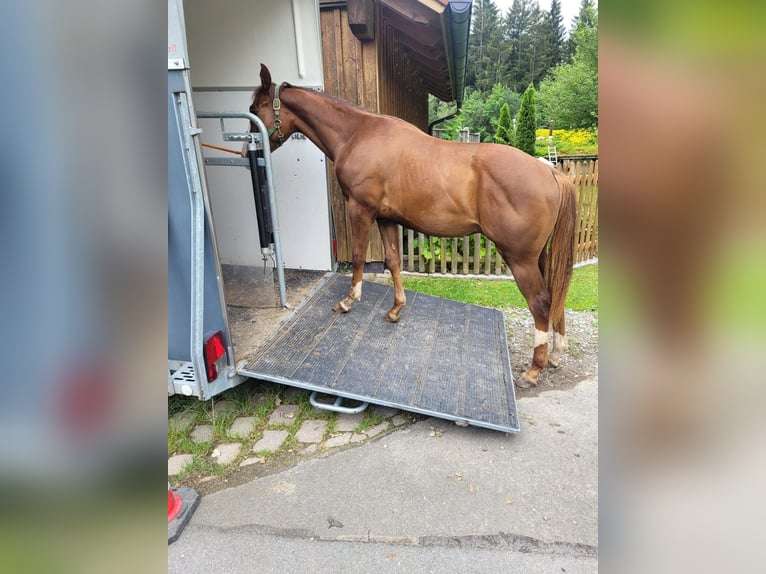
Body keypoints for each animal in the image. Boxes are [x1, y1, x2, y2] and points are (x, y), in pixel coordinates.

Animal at [249, 65, 580, 390]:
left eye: (254, 109)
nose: (247, 151)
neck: (358, 134)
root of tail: (550, 172)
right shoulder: (386, 218)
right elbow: (394, 260)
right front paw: (396, 309)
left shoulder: (360, 210)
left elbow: (358, 256)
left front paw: (348, 301)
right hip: (540, 257)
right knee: (555, 293)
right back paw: (556, 354)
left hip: (520, 258)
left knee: (540, 302)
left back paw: (533, 370)